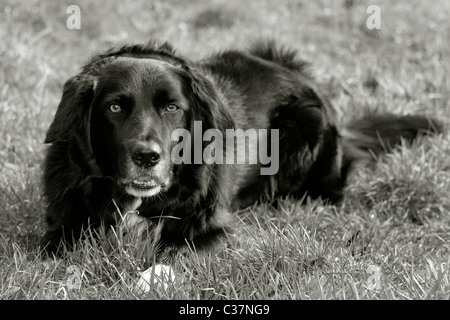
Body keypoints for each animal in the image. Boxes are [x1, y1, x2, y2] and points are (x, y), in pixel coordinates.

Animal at [40, 39, 442, 264]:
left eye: (172, 107)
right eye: (114, 108)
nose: (147, 157)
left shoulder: (211, 229)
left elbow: (171, 255)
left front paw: (147, 279)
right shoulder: (64, 222)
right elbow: (55, 252)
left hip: (306, 127)